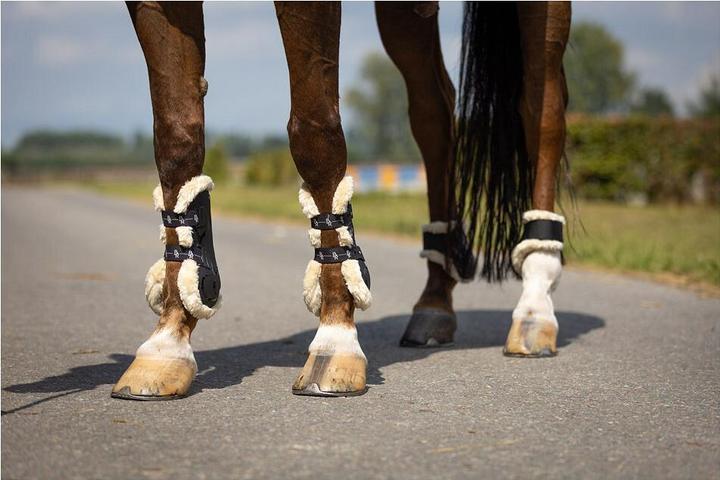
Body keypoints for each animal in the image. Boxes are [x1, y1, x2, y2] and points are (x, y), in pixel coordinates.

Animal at [112, 1, 571, 400]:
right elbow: (175, 136)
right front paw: (166, 345)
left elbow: (315, 133)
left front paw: (335, 339)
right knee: (434, 110)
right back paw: (435, 303)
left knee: (542, 104)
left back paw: (535, 304)